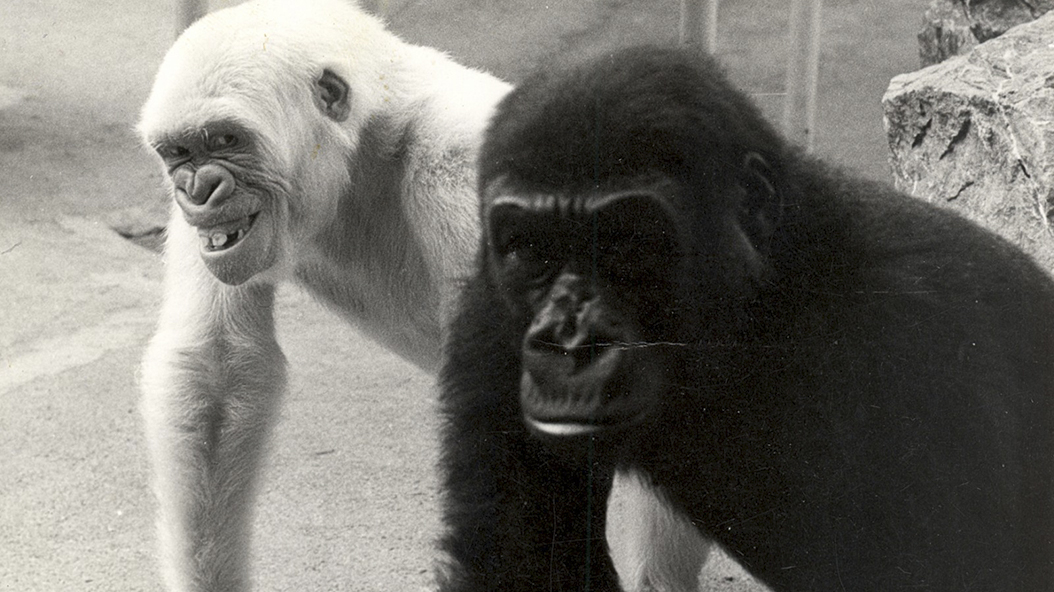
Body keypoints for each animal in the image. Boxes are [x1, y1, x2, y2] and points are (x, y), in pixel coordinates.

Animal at [133, 1, 708, 589]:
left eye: (226, 140)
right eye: (178, 152)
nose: (196, 190)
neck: (368, 141)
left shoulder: (460, 172)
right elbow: (216, 370)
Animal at [438, 43, 1054, 585]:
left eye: (629, 244)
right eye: (529, 250)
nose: (569, 340)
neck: (769, 304)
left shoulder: (921, 338)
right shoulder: (489, 309)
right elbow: (521, 555)